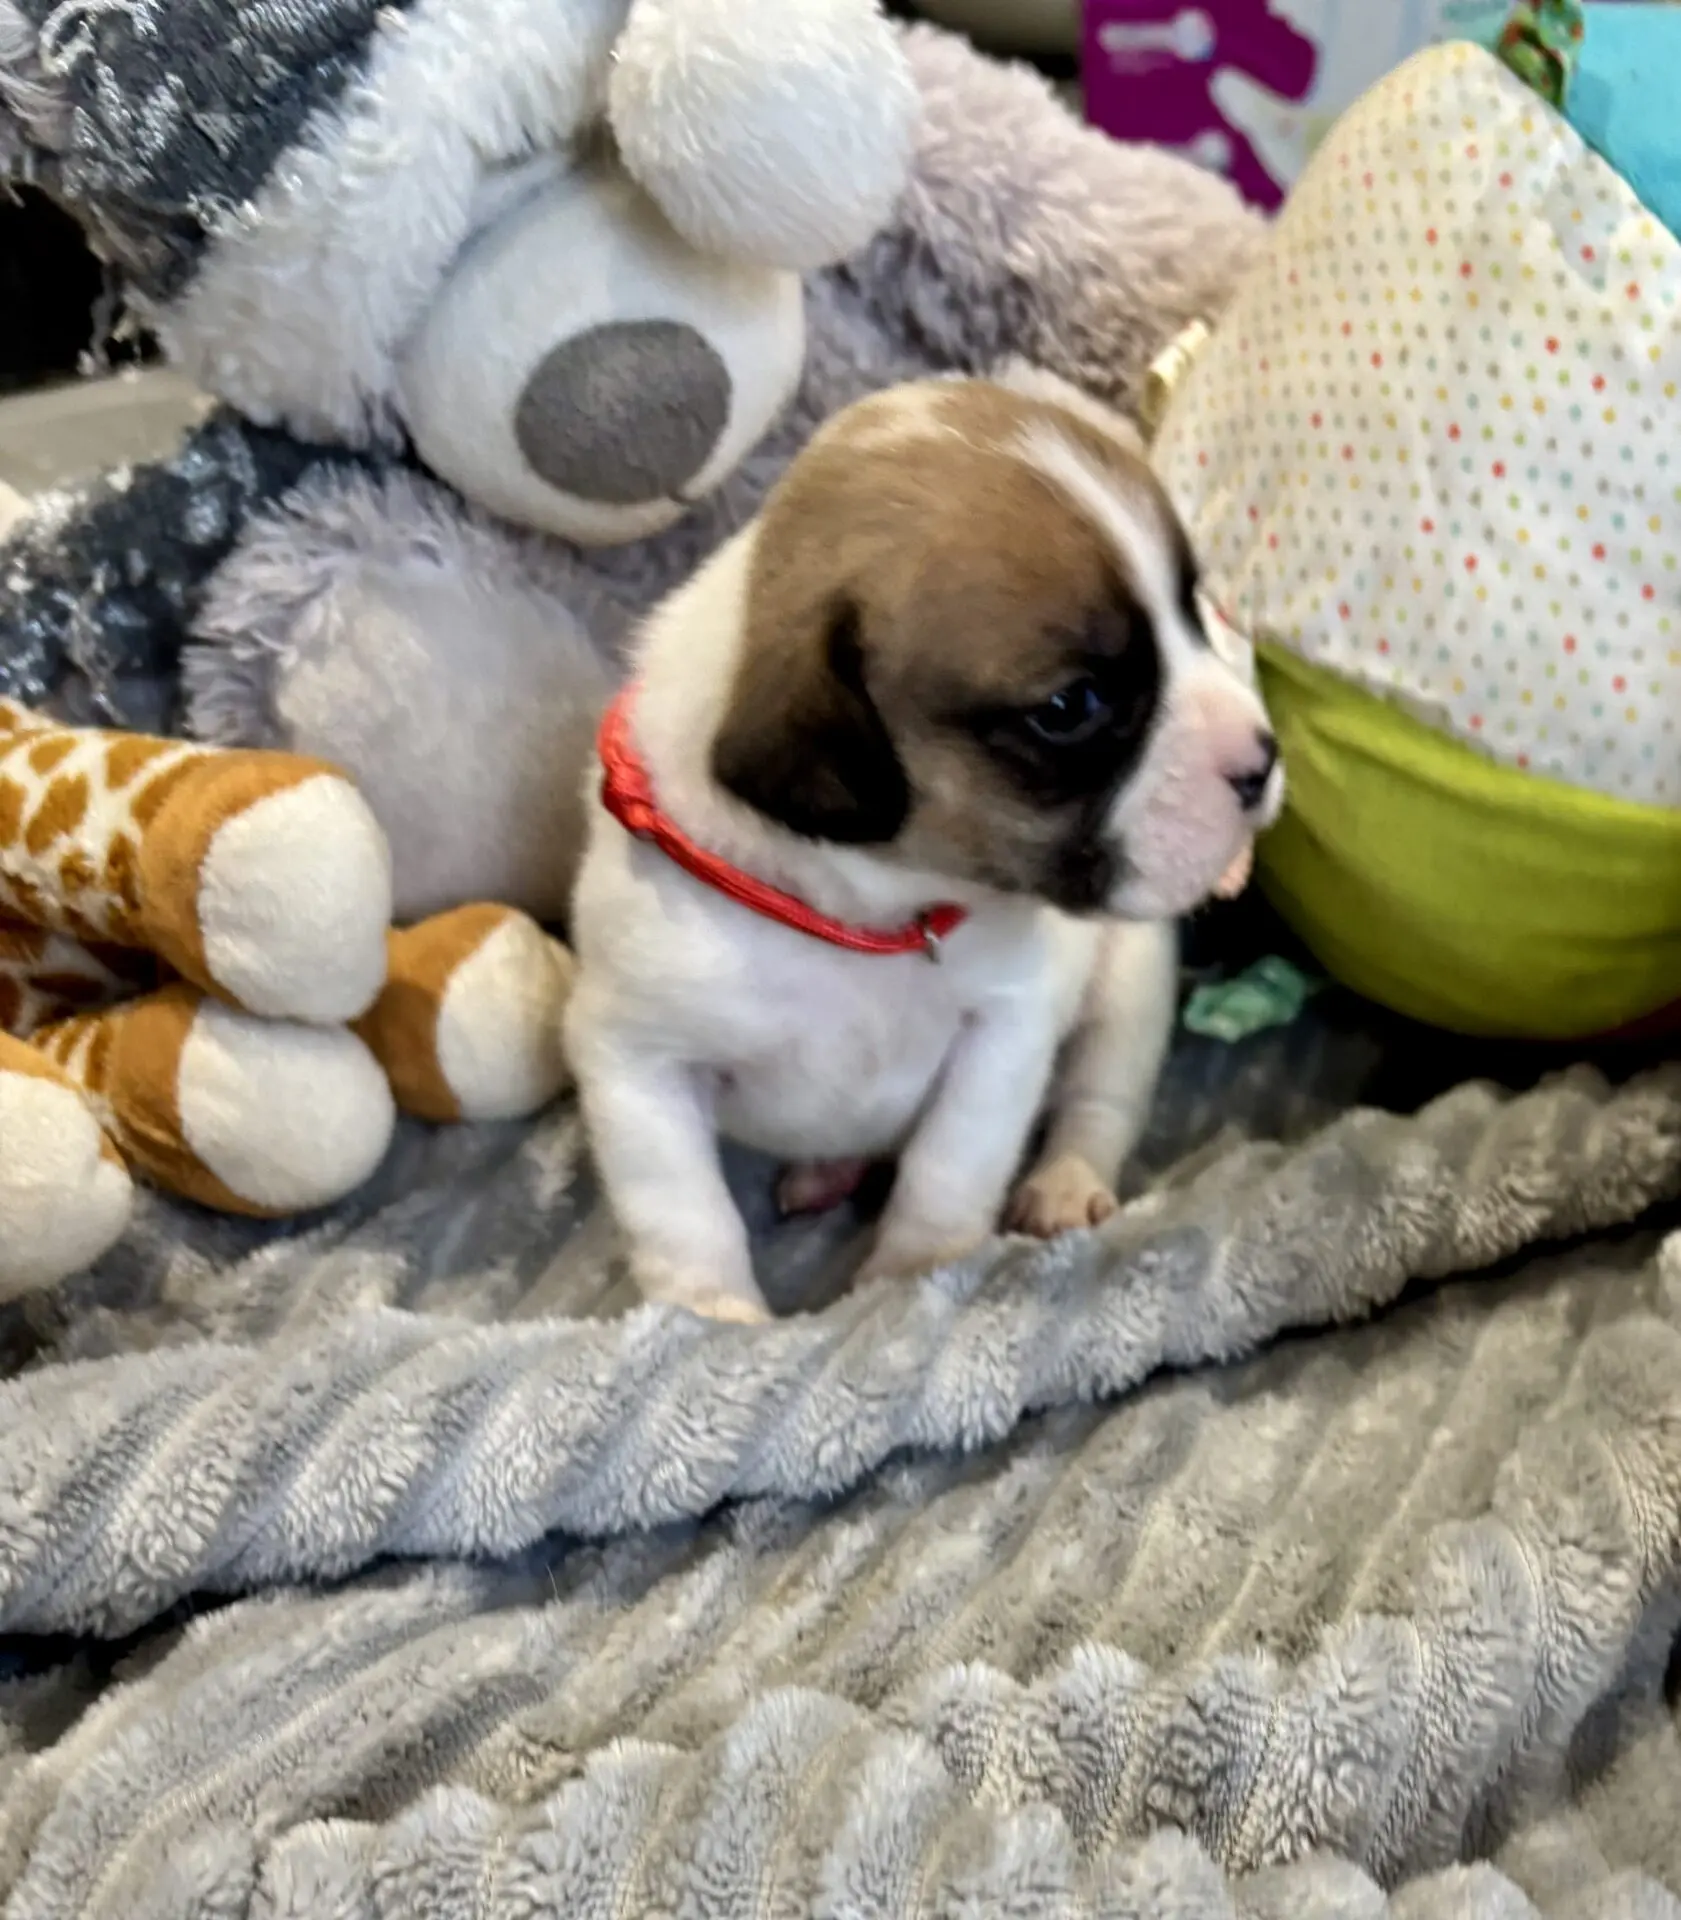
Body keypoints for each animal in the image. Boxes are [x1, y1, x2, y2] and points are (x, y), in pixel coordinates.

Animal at [565, 370, 1283, 1322]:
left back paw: (1063, 1183)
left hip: (1126, 992)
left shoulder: (1003, 1030)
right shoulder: (636, 1060)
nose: (1262, 757)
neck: (869, 910)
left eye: (1195, 613)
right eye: (1070, 708)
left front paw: (914, 1274)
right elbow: (682, 1210)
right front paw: (709, 1314)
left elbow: (950, 1163)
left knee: (1098, 1099)